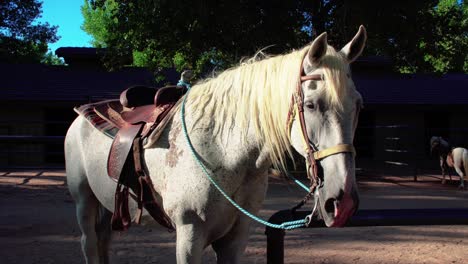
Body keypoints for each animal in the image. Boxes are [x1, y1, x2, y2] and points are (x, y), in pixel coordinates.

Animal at [65, 25, 366, 262]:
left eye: (358, 105)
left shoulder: (236, 237)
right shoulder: (189, 235)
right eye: (311, 104)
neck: (222, 151)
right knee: (89, 243)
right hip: (84, 200)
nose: (343, 203)